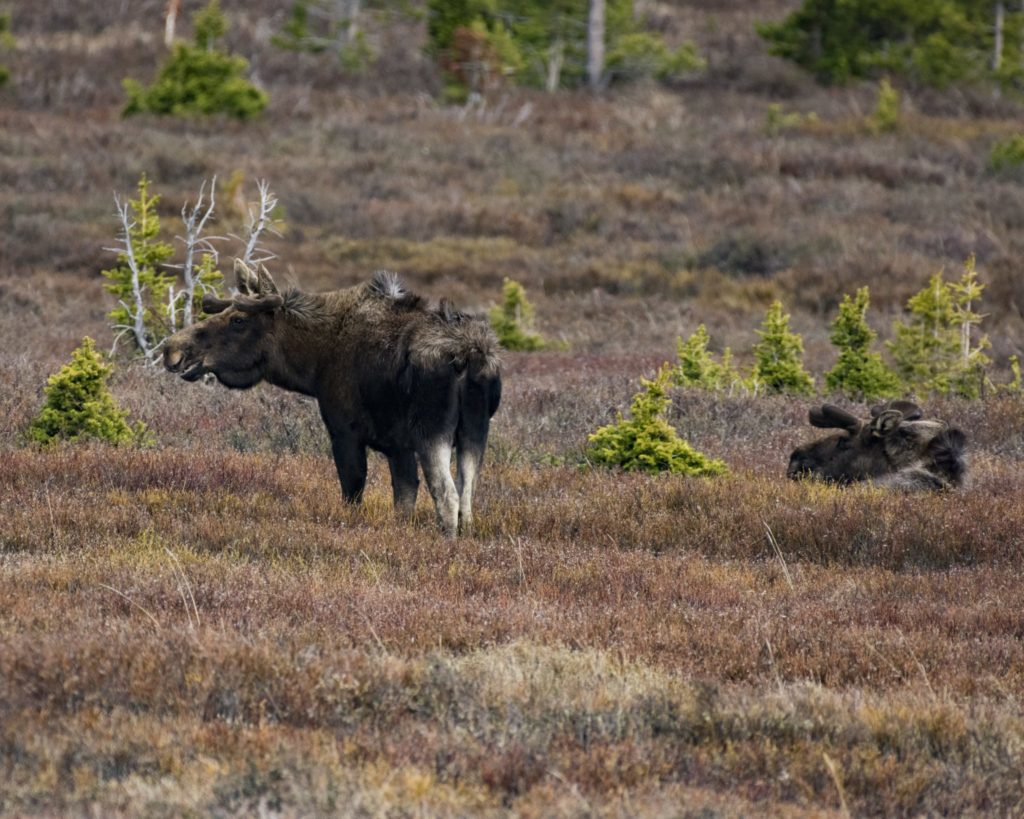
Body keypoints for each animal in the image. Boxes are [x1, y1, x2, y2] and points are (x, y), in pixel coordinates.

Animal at [161, 257, 501, 536]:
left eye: (238, 320)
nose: (171, 348)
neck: (312, 364)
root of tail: (470, 355)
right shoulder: (399, 446)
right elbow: (404, 500)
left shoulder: (345, 432)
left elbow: (353, 491)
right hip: (475, 431)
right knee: (467, 497)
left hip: (431, 431)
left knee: (448, 496)